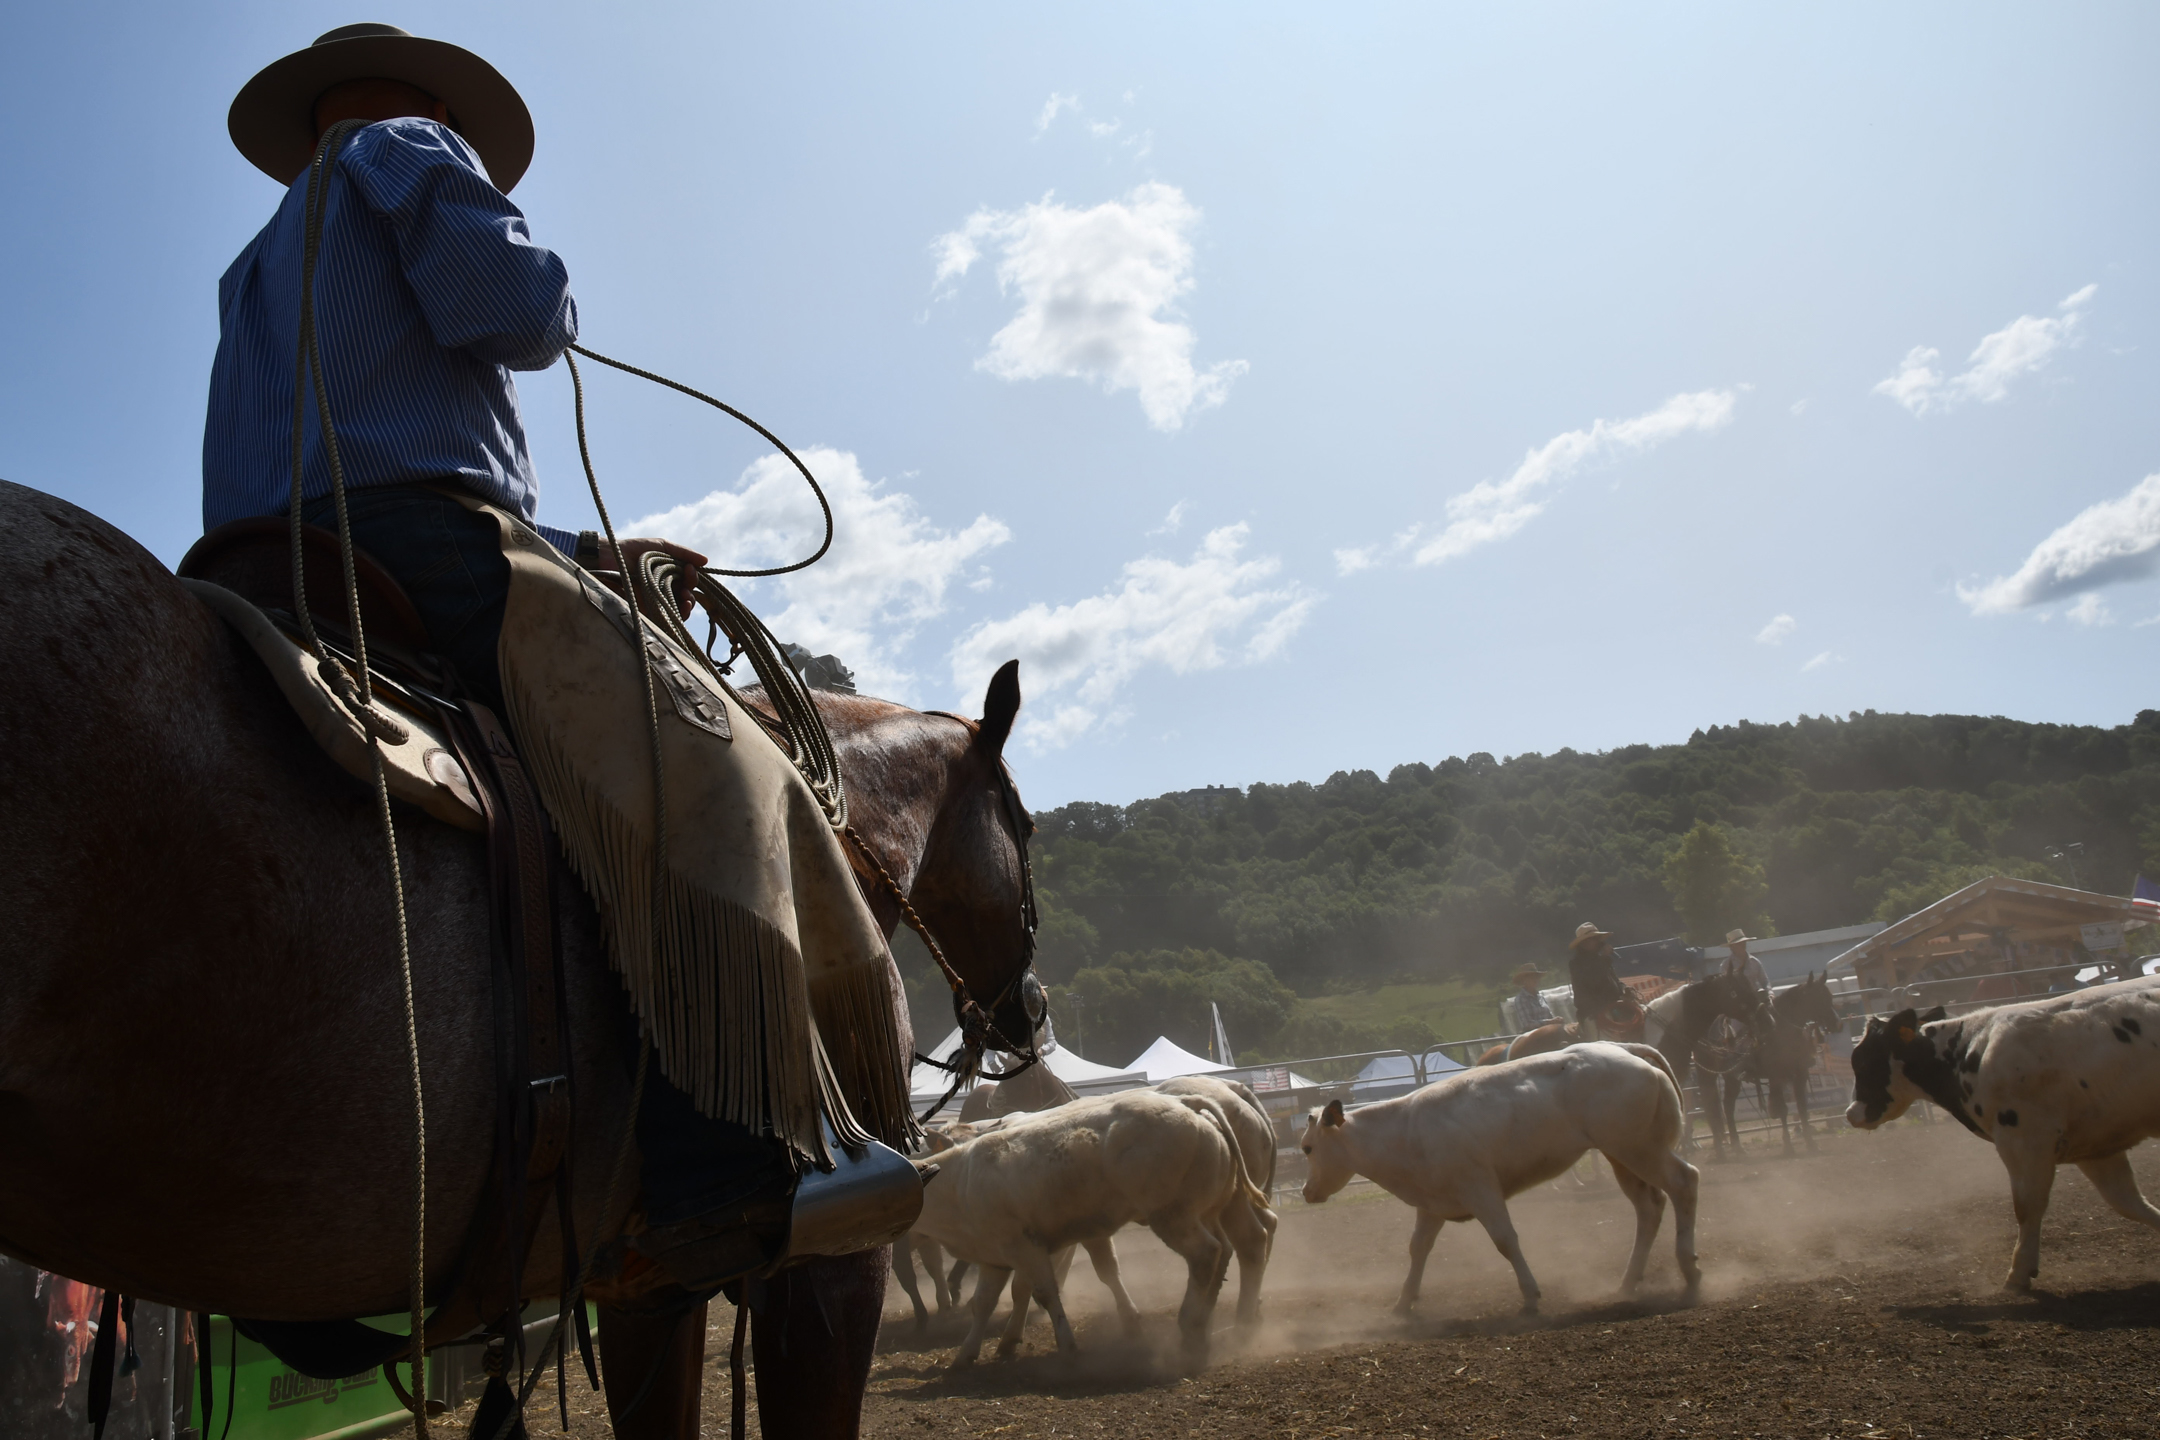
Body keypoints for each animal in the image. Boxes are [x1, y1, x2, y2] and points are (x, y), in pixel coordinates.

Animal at [1296, 1040, 1702, 1312]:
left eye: (1307, 1148)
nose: (1305, 1191)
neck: (1404, 1131)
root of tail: (1625, 1049)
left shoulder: (1480, 1188)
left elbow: (1505, 1240)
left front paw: (1530, 1294)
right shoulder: (1432, 1202)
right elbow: (1418, 1248)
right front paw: (1403, 1301)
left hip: (1639, 1148)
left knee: (1684, 1182)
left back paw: (1690, 1271)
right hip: (1622, 1155)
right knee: (1649, 1208)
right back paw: (1628, 1282)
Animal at [1840, 980, 2160, 1295]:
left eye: (1863, 1062)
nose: (1850, 1113)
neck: (1969, 1053)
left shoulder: (2024, 1140)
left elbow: (2027, 1206)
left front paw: (2018, 1273)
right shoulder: (2096, 1147)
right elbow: (2127, 1201)